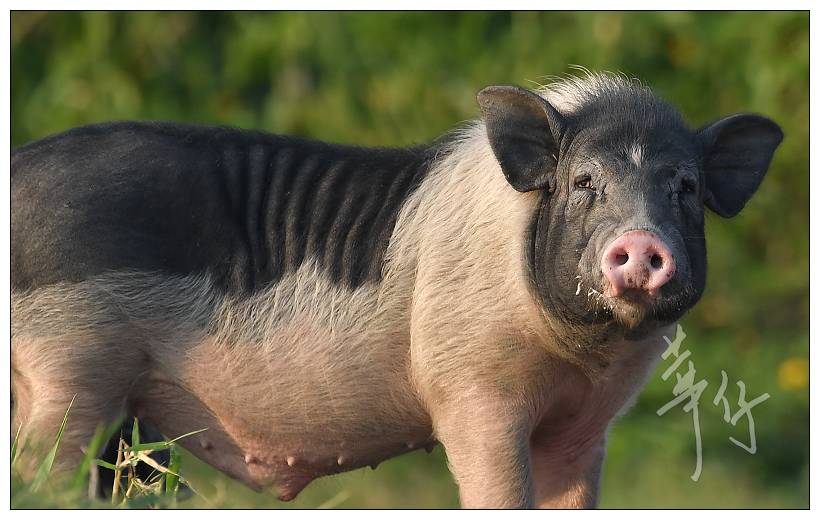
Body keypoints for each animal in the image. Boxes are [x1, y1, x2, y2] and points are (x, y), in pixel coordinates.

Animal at [10, 72, 782, 508]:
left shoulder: (588, 424)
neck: (580, 358)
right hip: (70, 365)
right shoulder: (473, 387)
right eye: (583, 182)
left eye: (686, 188)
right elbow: (497, 489)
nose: (643, 242)